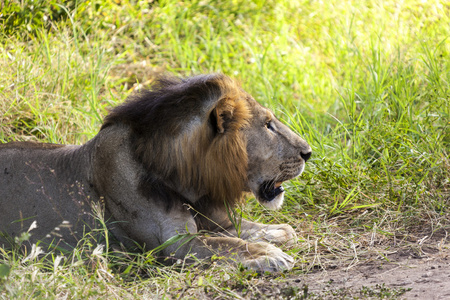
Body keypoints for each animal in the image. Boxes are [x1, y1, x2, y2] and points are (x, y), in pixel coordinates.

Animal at [0, 74, 310, 272]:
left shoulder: (210, 217)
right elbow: (227, 244)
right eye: (268, 125)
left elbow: (244, 229)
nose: (308, 152)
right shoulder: (175, 246)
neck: (187, 181)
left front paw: (277, 232)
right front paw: (270, 255)